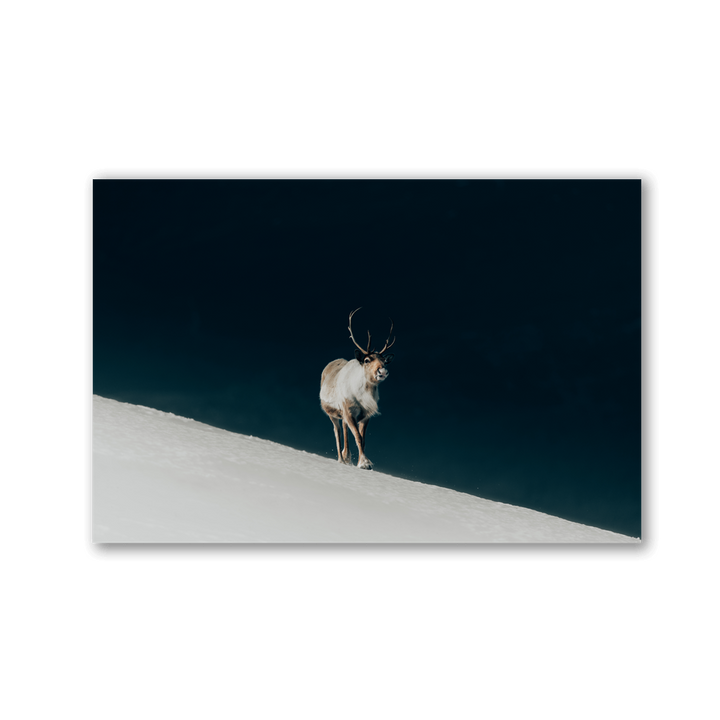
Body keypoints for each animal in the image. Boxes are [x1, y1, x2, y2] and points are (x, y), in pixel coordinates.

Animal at [320, 308, 395, 470]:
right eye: (367, 360)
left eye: (384, 360)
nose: (382, 371)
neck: (363, 396)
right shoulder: (349, 411)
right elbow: (358, 437)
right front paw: (365, 463)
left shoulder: (366, 415)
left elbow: (363, 439)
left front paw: (362, 461)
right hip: (333, 414)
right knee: (337, 432)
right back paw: (341, 459)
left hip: (343, 414)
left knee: (344, 428)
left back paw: (347, 457)